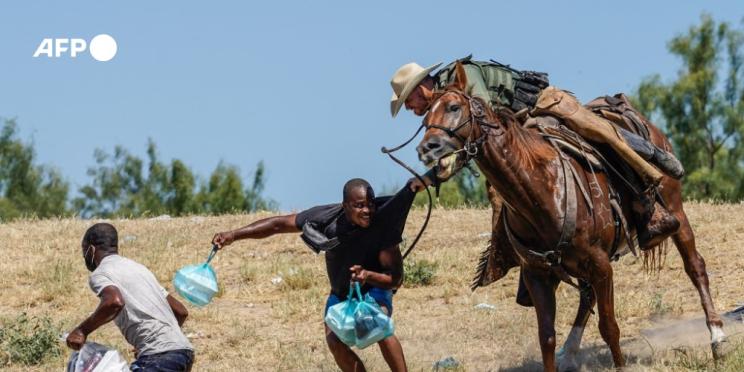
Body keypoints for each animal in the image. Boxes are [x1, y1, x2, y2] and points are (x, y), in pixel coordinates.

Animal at [418, 62, 728, 370]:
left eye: (454, 107)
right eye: (425, 116)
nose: (427, 148)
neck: (540, 190)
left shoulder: (601, 265)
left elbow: (609, 327)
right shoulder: (537, 274)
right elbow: (547, 337)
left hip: (676, 211)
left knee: (695, 266)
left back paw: (718, 338)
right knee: (586, 296)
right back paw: (570, 350)